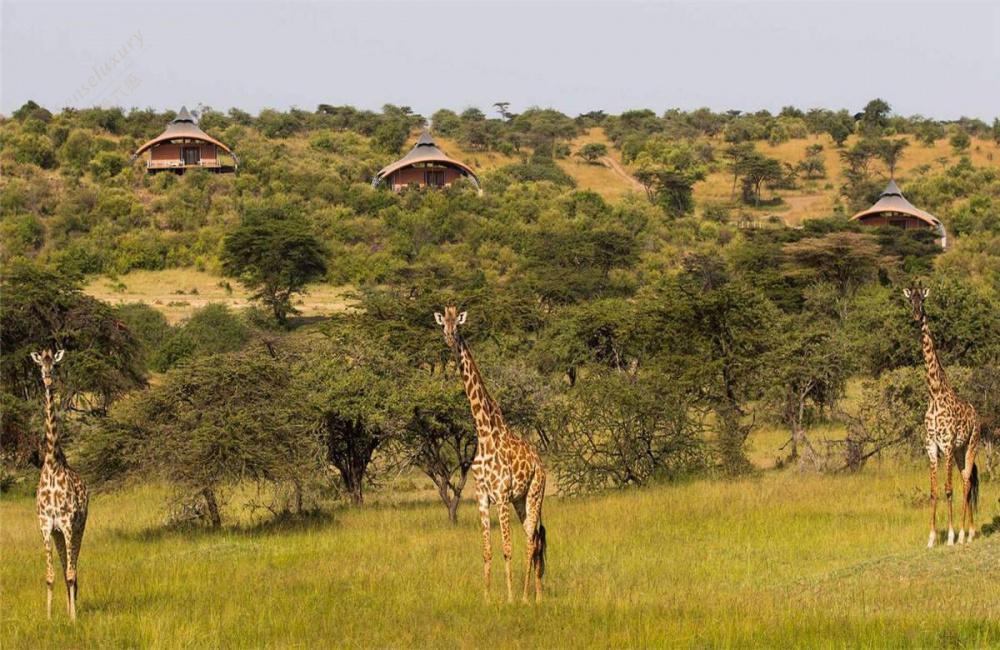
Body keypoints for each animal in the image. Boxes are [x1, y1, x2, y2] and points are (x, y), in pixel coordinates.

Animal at [434, 306, 548, 600]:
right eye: (443, 325)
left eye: (458, 326)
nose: (449, 340)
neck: (484, 432)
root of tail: (541, 464)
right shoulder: (483, 497)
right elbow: (486, 551)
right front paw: (486, 598)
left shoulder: (502, 496)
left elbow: (507, 549)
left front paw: (508, 598)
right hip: (521, 500)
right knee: (534, 536)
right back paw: (536, 594)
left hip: (534, 493)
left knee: (531, 540)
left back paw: (527, 597)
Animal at [904, 286, 980, 544]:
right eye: (910, 300)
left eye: (923, 300)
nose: (916, 316)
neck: (935, 393)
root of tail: (977, 414)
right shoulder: (932, 447)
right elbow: (934, 491)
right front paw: (931, 538)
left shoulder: (946, 445)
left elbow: (948, 490)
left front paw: (950, 536)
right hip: (958, 451)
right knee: (968, 479)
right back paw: (969, 532)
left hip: (971, 444)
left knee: (966, 481)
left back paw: (965, 535)